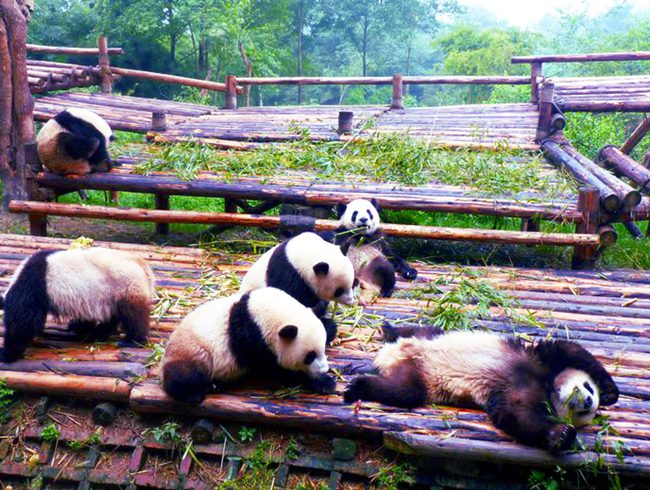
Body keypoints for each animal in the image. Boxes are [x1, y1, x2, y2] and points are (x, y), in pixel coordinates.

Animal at [0, 247, 155, 362]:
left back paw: (134, 341)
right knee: (113, 316)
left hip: (125, 284)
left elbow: (23, 322)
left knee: (133, 316)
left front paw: (7, 354)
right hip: (112, 294)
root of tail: (142, 265)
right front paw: (78, 327)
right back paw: (98, 334)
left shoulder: (32, 288)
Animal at [161, 287, 335, 404]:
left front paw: (330, 327)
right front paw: (324, 382)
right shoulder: (251, 340)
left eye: (322, 350)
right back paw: (194, 393)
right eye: (309, 357)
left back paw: (214, 386)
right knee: (184, 375)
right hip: (192, 352)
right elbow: (275, 370)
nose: (324, 369)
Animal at [343, 323, 619, 452]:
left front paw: (560, 435)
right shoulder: (543, 359)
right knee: (422, 329)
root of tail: (392, 356)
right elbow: (571, 351)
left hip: (418, 377)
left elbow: (517, 414)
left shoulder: (519, 393)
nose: (587, 401)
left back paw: (361, 379)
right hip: (433, 339)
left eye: (583, 412)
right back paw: (385, 334)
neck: (549, 385)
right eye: (588, 389)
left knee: (401, 390)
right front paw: (609, 392)